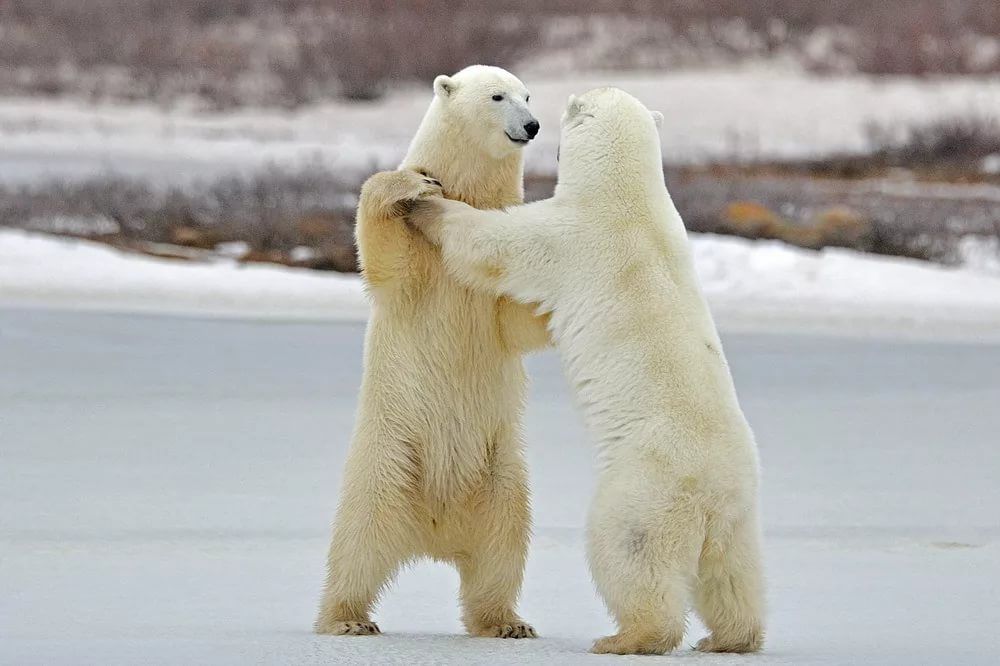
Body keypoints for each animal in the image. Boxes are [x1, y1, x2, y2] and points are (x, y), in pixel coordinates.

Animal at [316, 66, 548, 640]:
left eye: (528, 94)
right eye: (497, 96)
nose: (532, 125)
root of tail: (437, 534)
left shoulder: (491, 291)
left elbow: (517, 317)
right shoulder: (419, 266)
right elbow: (384, 256)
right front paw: (415, 183)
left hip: (499, 472)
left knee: (503, 547)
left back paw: (506, 623)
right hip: (389, 461)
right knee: (358, 543)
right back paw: (347, 619)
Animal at [406, 87, 764, 652]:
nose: (536, 128)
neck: (628, 195)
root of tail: (712, 494)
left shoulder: (569, 236)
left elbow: (493, 246)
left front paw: (427, 202)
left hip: (643, 491)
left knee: (628, 553)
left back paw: (627, 637)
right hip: (739, 514)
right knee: (731, 574)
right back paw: (729, 638)